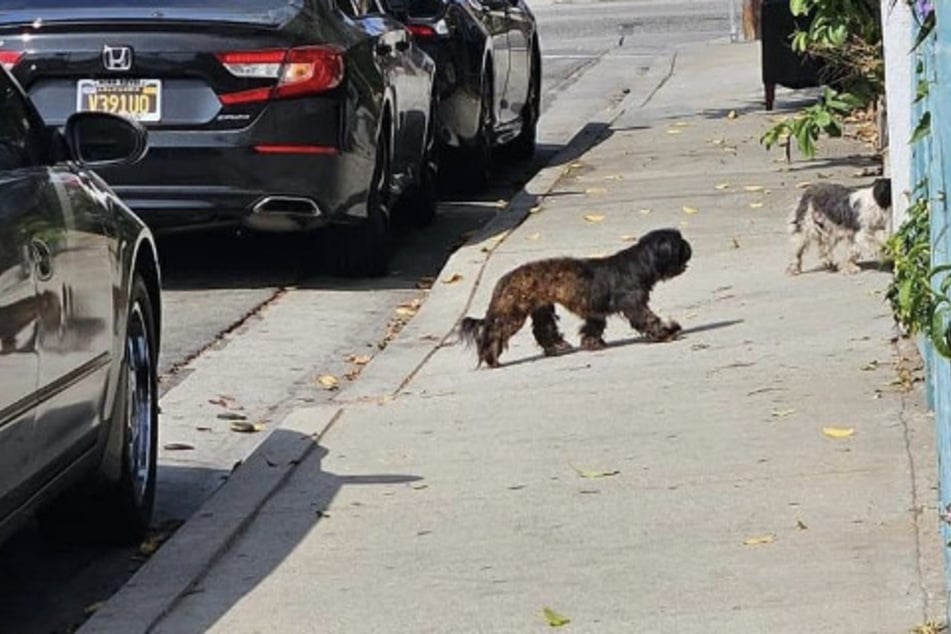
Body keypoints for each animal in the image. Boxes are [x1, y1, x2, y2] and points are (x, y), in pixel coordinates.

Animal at [460, 227, 692, 366]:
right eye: (679, 243)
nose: (689, 245)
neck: (639, 264)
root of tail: (504, 280)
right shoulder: (634, 305)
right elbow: (648, 320)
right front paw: (667, 332)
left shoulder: (596, 313)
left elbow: (593, 327)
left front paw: (591, 343)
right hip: (513, 314)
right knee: (495, 333)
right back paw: (490, 358)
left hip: (541, 308)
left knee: (543, 330)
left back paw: (557, 347)